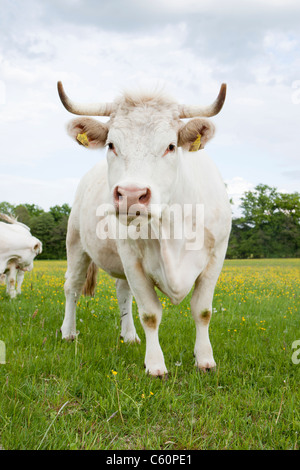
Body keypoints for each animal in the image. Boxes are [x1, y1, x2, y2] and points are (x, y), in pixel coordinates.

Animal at [58, 81, 232, 378]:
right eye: (111, 144)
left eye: (171, 146)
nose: (131, 195)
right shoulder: (132, 258)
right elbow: (150, 314)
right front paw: (155, 365)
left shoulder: (216, 255)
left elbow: (202, 311)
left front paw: (205, 359)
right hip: (76, 243)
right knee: (73, 286)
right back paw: (68, 332)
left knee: (122, 292)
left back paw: (129, 336)